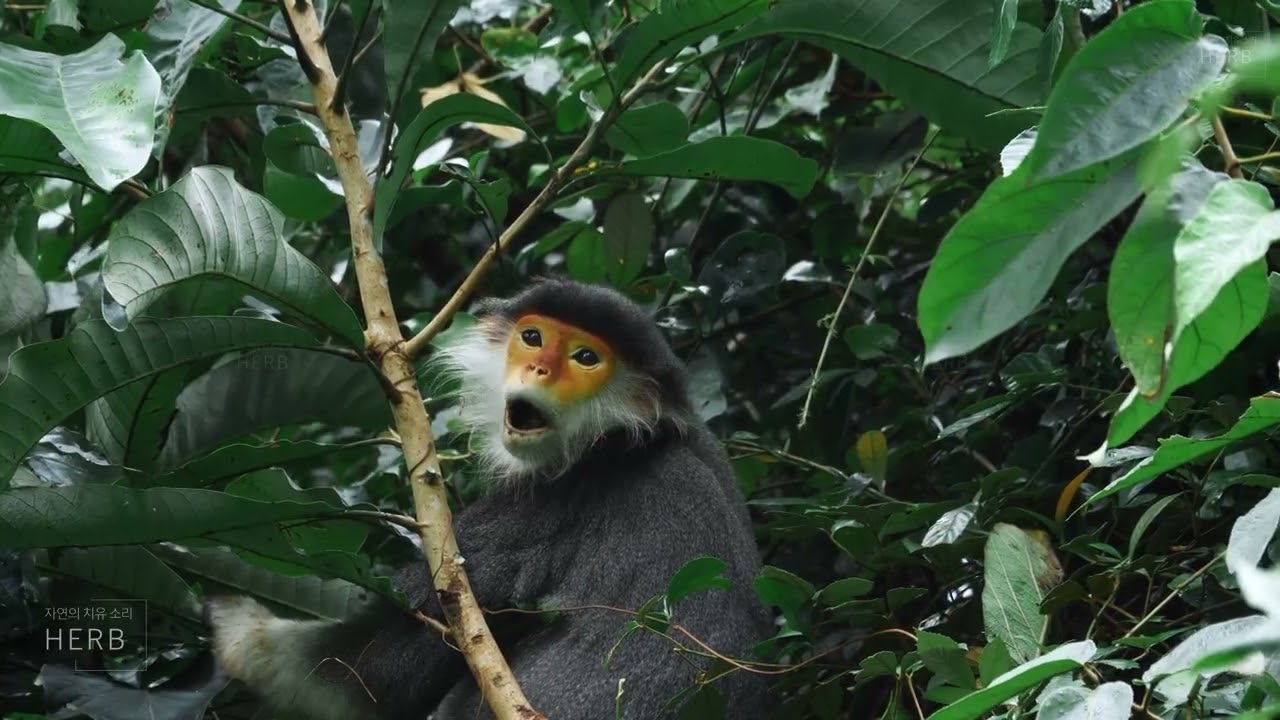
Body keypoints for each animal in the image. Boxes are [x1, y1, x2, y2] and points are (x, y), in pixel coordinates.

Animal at [204, 278, 774, 719]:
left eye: (585, 358)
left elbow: (359, 674)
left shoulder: (537, 515)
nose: (539, 370)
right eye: (532, 337)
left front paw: (231, 615)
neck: (624, 439)